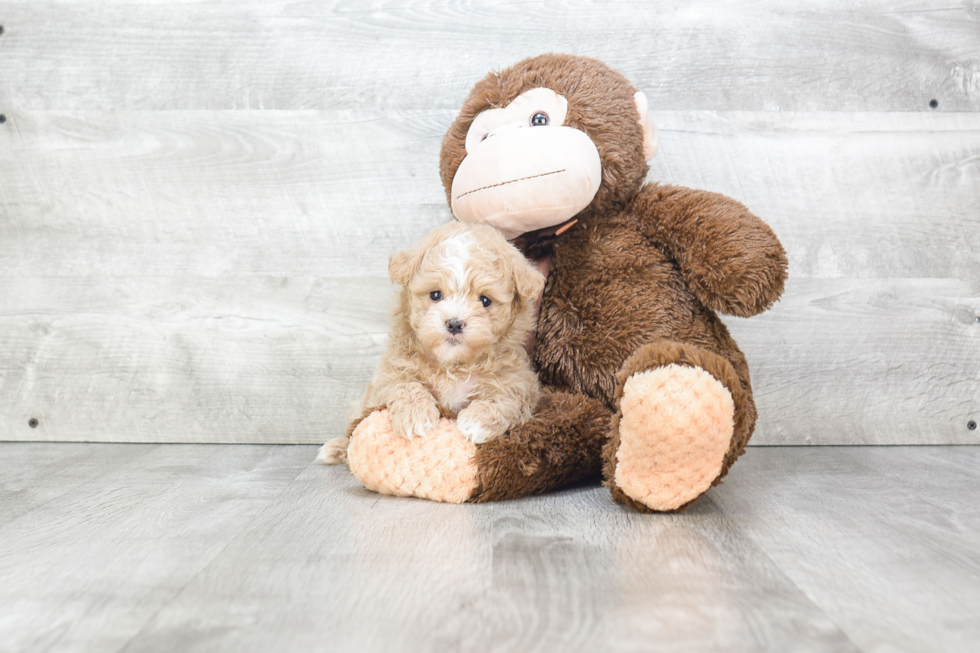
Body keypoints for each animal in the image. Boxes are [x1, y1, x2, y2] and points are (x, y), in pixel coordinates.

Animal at [318, 223, 544, 464]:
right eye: (435, 295)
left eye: (485, 300)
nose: (454, 323)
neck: (454, 365)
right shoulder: (390, 370)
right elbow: (404, 384)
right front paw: (415, 416)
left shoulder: (520, 381)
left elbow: (507, 397)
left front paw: (477, 421)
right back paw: (336, 448)